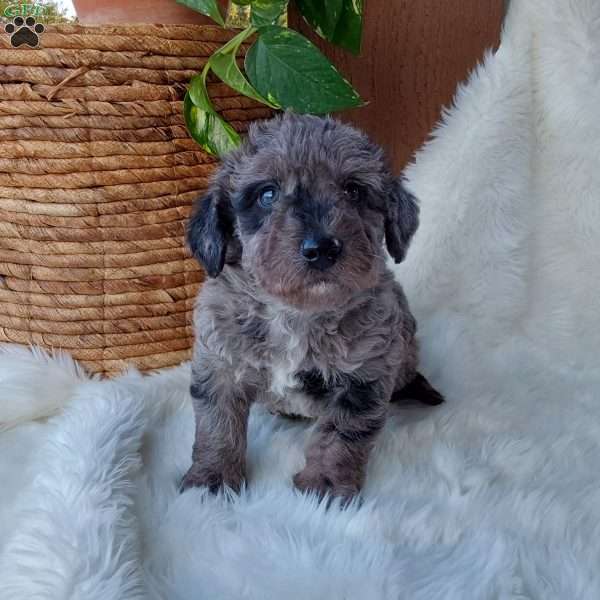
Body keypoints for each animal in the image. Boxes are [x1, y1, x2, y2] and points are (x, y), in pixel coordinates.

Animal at [180, 111, 442, 502]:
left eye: (353, 191)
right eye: (267, 194)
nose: (322, 248)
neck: (295, 314)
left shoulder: (362, 377)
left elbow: (340, 437)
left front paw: (325, 488)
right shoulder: (219, 363)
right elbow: (217, 426)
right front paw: (211, 479)